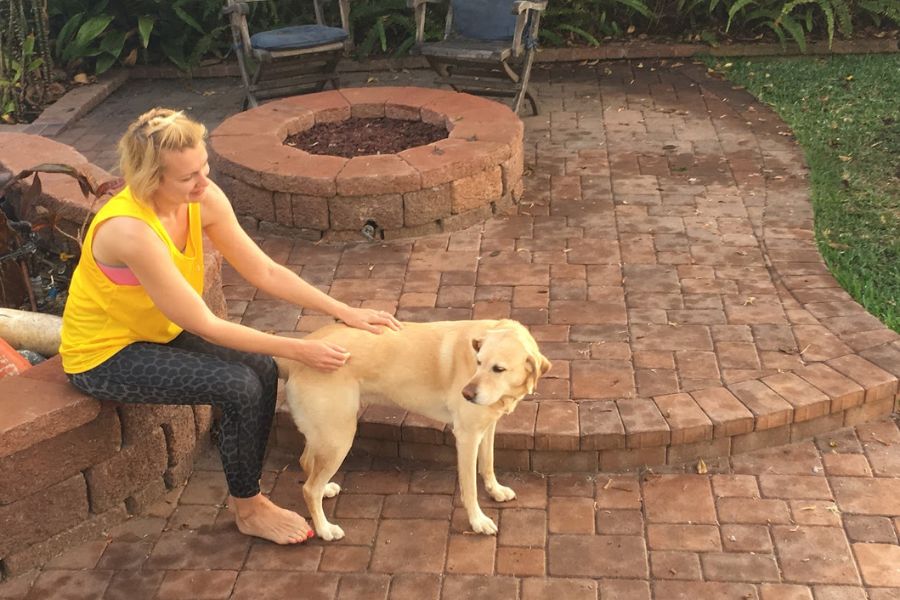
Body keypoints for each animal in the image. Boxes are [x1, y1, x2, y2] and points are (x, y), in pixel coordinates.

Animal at [278, 322, 552, 540]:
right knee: (308, 488)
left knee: (307, 463)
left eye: (498, 369)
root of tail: (299, 349)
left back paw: (325, 490)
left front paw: (495, 490)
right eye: (478, 363)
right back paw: (325, 529)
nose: (466, 393)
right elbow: (470, 488)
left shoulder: (487, 426)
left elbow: (488, 464)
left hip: (326, 433)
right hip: (339, 437)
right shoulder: (466, 436)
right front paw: (478, 521)